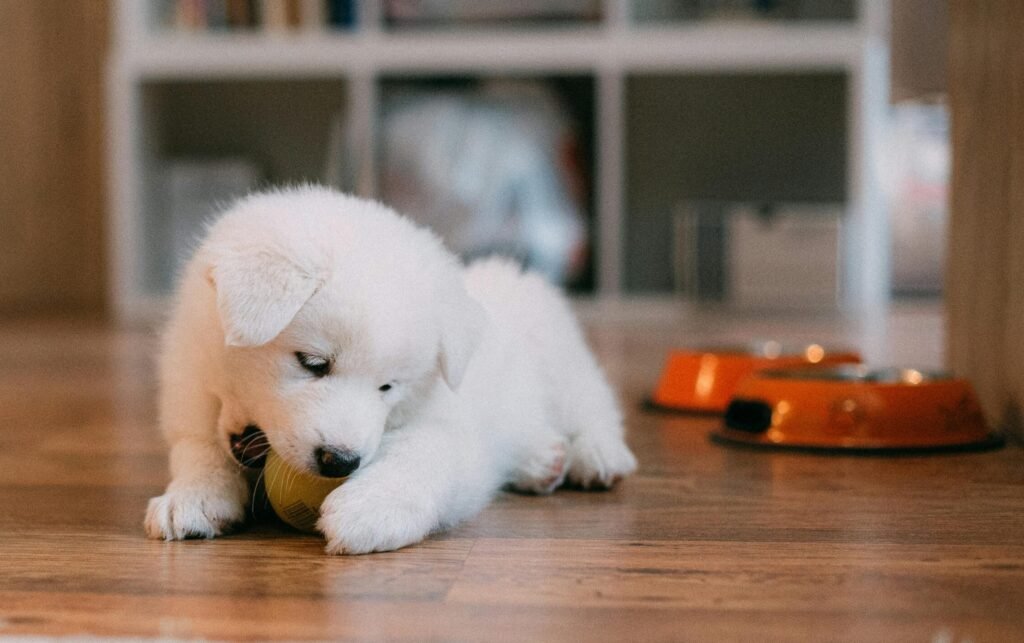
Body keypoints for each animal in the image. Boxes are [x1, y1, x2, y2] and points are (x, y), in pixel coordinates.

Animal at [143, 186, 634, 552]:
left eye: (387, 386)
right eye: (313, 363)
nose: (340, 461)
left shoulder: (449, 430)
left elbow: (422, 456)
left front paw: (370, 509)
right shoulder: (190, 401)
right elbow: (197, 452)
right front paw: (191, 496)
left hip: (560, 361)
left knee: (594, 407)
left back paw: (595, 455)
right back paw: (540, 460)